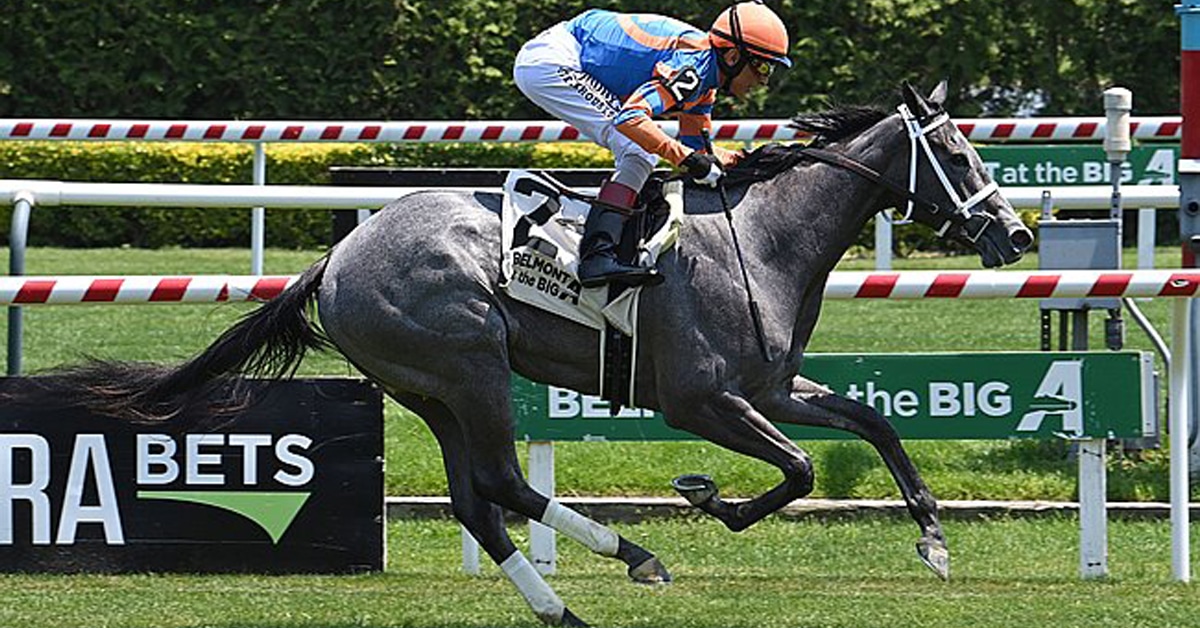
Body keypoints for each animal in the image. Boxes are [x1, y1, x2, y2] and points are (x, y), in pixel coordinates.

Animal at [29, 82, 1031, 626]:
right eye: (955, 153)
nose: (1016, 234)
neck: (760, 238)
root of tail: (337, 258)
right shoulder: (701, 401)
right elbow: (797, 472)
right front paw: (707, 498)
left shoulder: (772, 386)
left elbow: (872, 427)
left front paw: (934, 541)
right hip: (468, 363)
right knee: (503, 483)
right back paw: (630, 556)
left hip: (428, 386)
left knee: (479, 500)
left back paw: (565, 604)